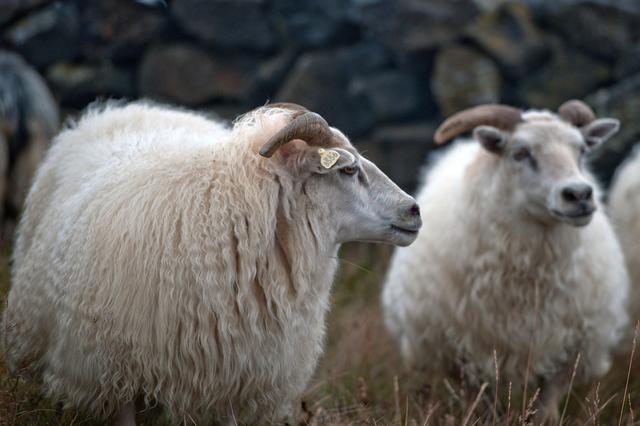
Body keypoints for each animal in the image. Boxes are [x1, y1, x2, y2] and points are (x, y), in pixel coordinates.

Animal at [382, 100, 628, 422]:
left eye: (581, 151)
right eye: (520, 153)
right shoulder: (467, 357)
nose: (579, 194)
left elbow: (546, 410)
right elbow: (486, 408)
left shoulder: (567, 352)